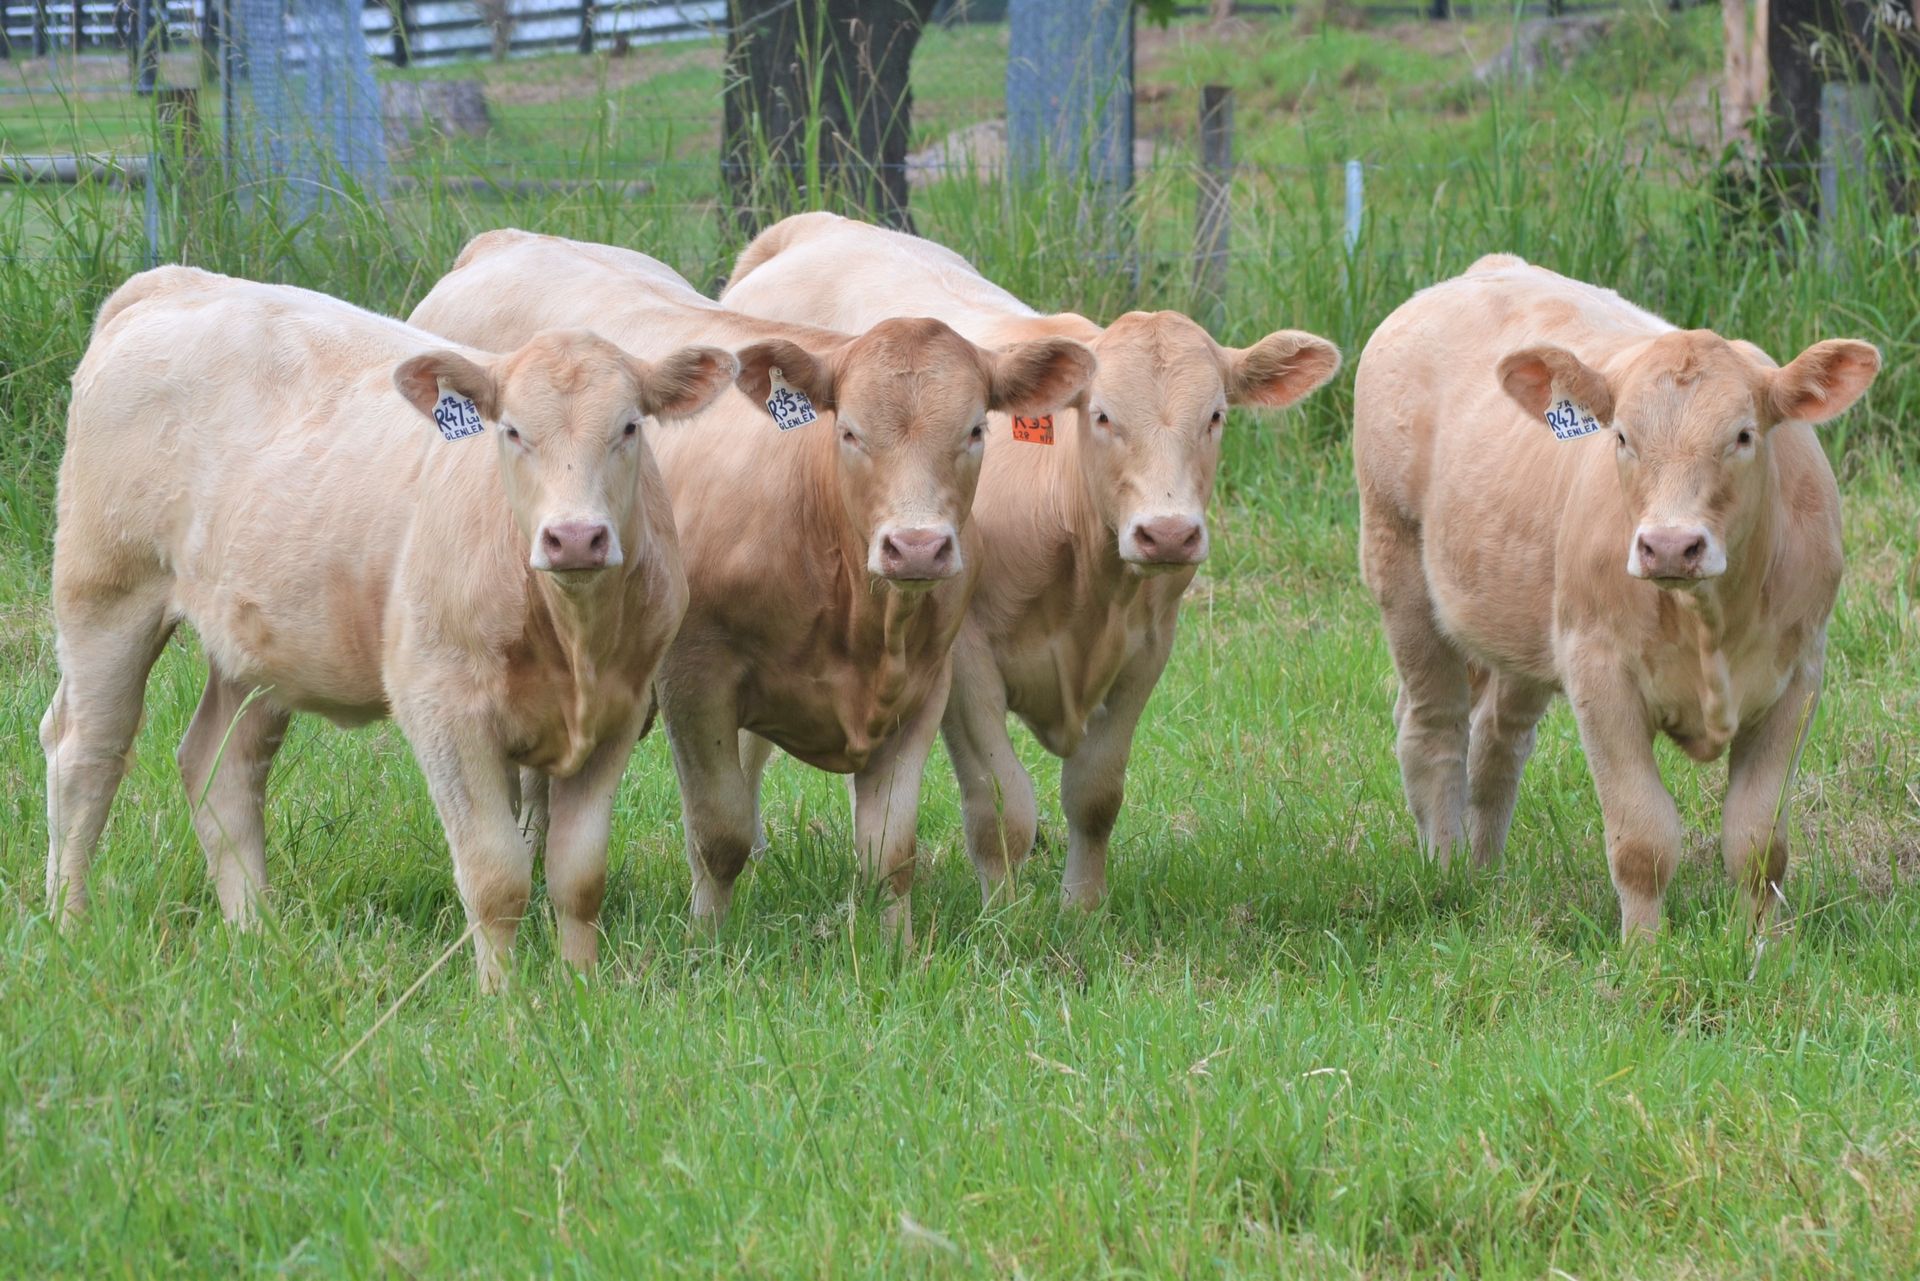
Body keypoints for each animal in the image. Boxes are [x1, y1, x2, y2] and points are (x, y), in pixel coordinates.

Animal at [44, 266, 736, 990]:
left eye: (629, 427)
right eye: (512, 431)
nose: (575, 537)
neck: (573, 638)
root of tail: (171, 281)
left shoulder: (618, 714)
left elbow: (578, 876)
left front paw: (580, 988)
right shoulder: (443, 709)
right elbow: (496, 876)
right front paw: (503, 997)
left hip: (259, 645)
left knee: (221, 765)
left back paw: (257, 932)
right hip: (105, 594)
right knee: (84, 755)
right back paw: (69, 922)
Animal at [408, 230, 1094, 939]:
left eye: (976, 430)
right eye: (849, 431)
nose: (916, 547)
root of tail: (508, 240)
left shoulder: (925, 687)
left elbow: (889, 849)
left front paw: (896, 946)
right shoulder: (694, 677)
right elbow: (720, 835)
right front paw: (706, 942)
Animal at [721, 212, 1341, 908]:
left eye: (1215, 416)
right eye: (1102, 415)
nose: (1168, 534)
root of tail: (814, 224)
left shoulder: (1148, 649)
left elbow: (1096, 795)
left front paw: (1081, 908)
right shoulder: (965, 660)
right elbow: (1003, 807)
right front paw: (1004, 916)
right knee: (747, 746)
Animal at [1353, 253, 1880, 936]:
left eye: (1743, 436)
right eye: (1623, 437)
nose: (1670, 545)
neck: (1709, 623)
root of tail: (1486, 269)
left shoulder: (1799, 676)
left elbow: (1758, 840)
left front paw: (1758, 945)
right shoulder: (1598, 673)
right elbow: (1643, 839)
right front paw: (1644, 950)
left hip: (1523, 620)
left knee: (1498, 740)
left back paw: (1483, 874)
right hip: (1399, 567)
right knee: (1434, 729)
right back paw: (1446, 875)